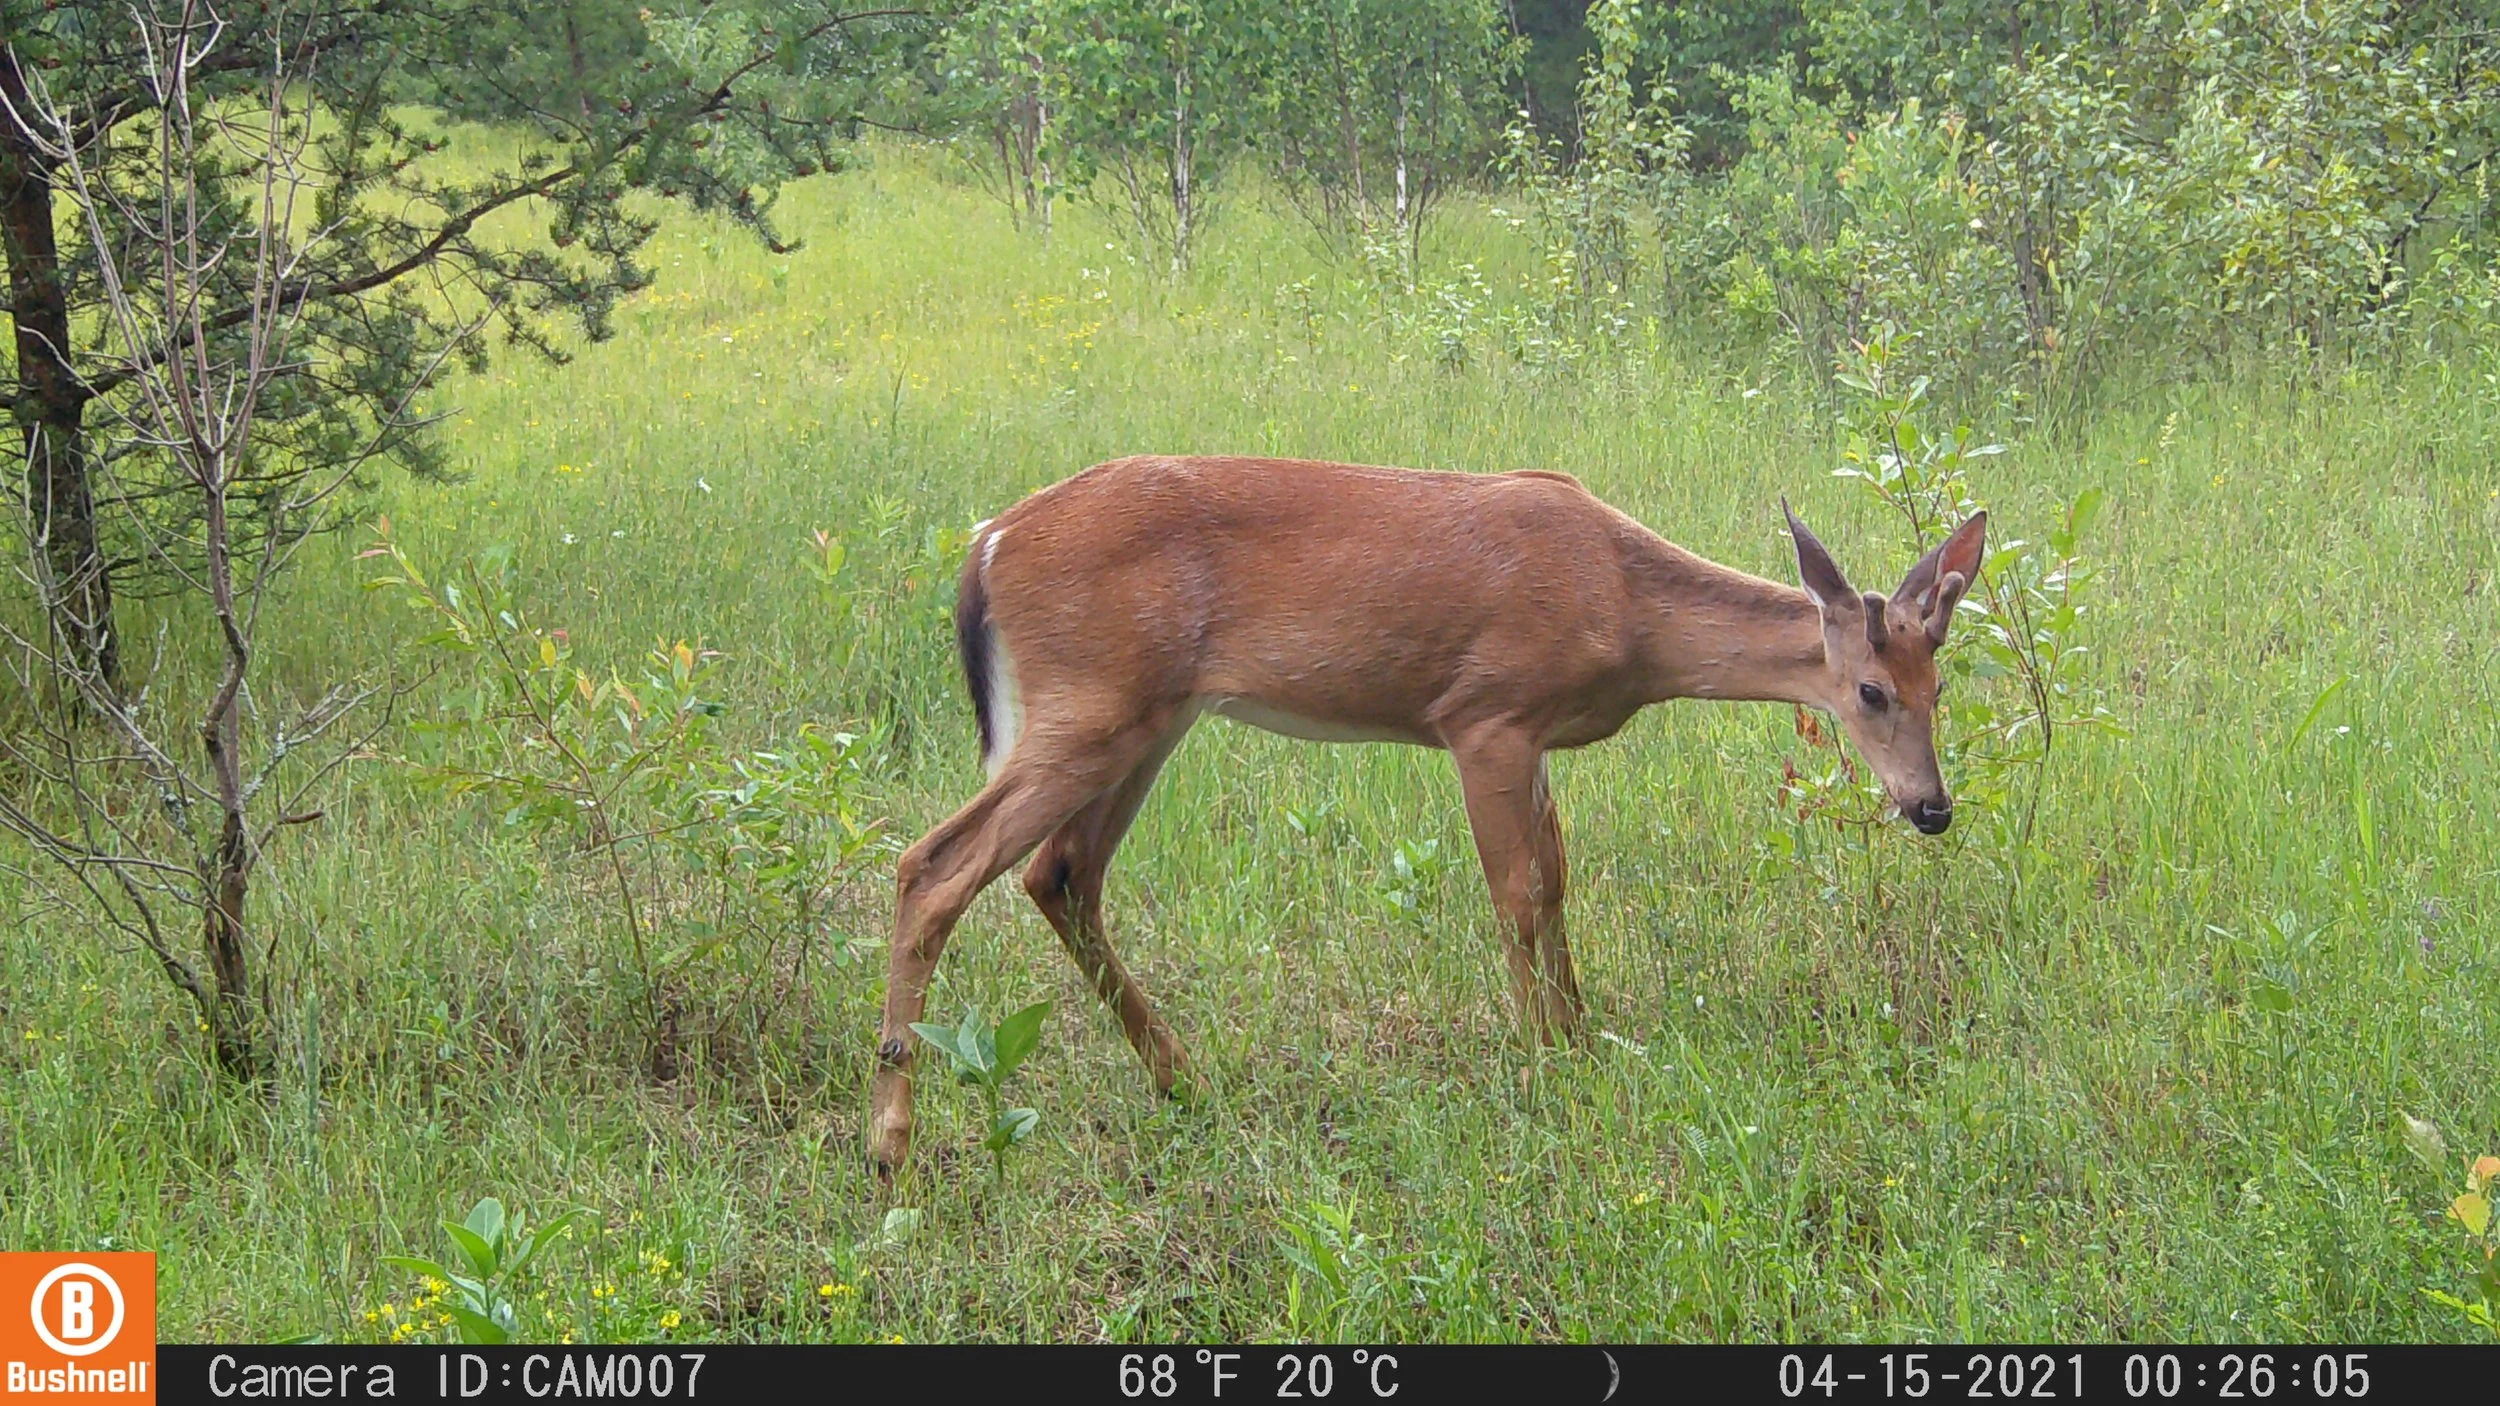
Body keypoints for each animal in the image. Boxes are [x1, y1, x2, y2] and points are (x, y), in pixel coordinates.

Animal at [868, 454, 1986, 1173]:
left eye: (1941, 686)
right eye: (1871, 693)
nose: (1931, 806)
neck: (1627, 610)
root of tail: (987, 546)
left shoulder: (1533, 739)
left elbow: (1557, 884)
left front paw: (1581, 1045)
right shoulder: (1484, 714)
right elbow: (1518, 893)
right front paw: (1545, 1066)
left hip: (1146, 718)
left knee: (1059, 874)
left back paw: (1187, 1082)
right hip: (1090, 704)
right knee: (935, 863)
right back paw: (892, 1142)